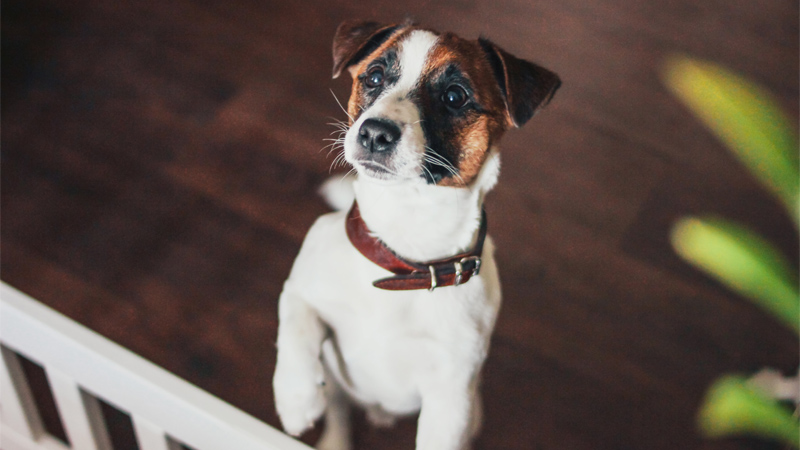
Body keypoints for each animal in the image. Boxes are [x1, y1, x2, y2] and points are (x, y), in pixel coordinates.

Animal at [272, 20, 560, 450]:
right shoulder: (301, 289)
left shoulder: (450, 399)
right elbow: (295, 329)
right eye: (374, 76)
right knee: (338, 409)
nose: (374, 133)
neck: (401, 257)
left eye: (455, 96)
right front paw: (297, 399)